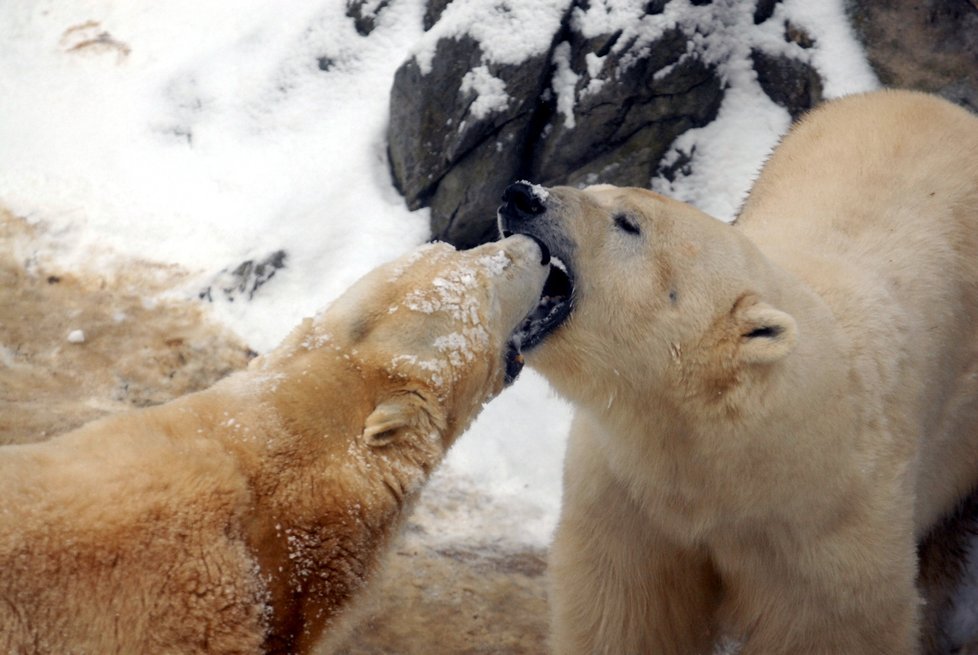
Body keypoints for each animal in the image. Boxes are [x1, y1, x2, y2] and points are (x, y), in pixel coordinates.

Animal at [500, 88, 976, 655]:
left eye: (628, 222)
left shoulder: (835, 524)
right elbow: (624, 606)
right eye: (596, 188)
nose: (523, 194)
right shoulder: (628, 492)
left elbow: (835, 626)